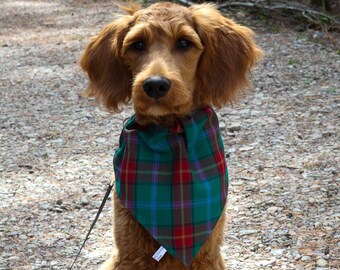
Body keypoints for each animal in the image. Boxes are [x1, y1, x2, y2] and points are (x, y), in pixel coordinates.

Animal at [80, 2, 262, 270]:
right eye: (138, 45)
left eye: (184, 43)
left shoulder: (207, 254)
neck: (170, 133)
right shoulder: (129, 252)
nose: (155, 84)